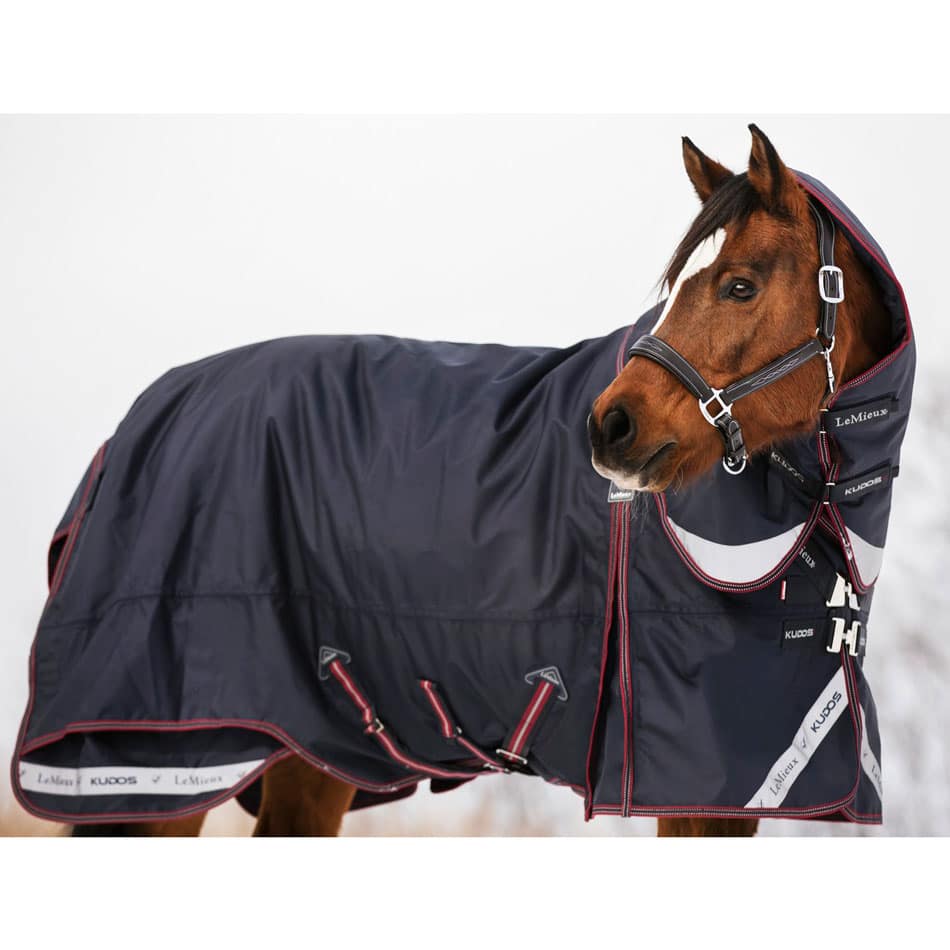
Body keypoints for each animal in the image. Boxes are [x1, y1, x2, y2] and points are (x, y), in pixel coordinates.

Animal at [18, 125, 903, 837]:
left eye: (740, 284)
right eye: (684, 285)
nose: (609, 426)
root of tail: (133, 426)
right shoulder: (691, 791)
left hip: (311, 761)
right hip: (165, 767)